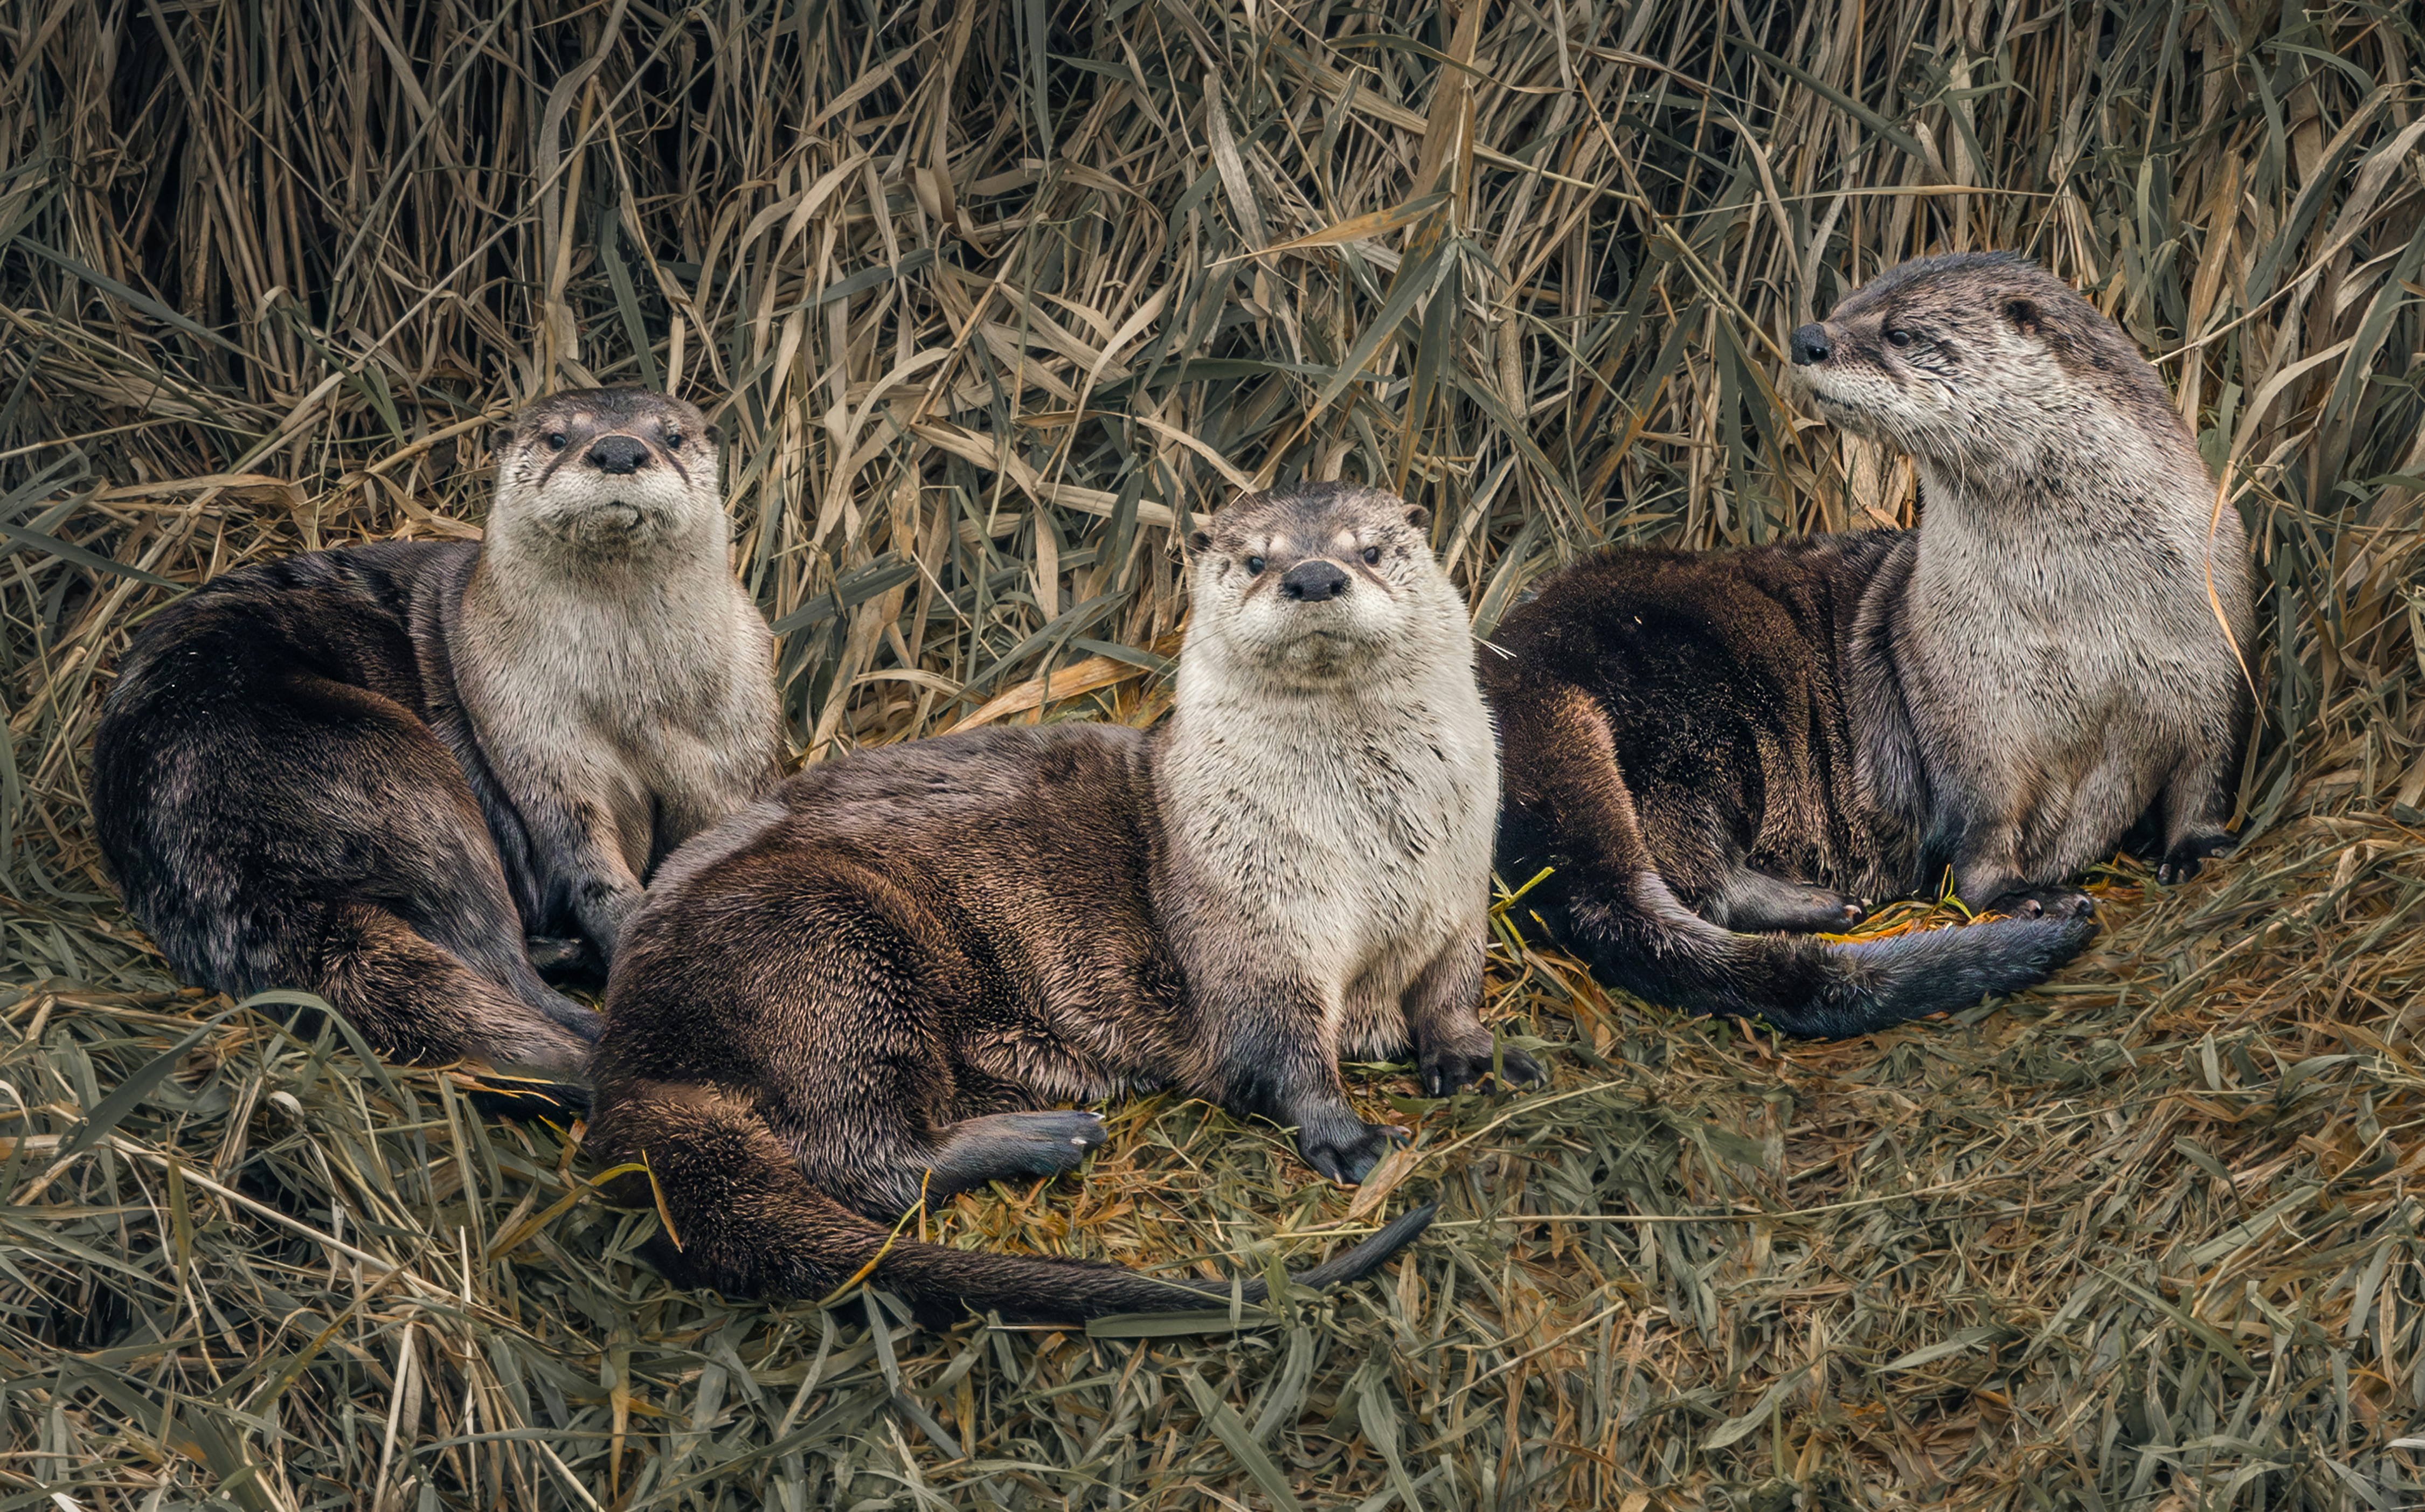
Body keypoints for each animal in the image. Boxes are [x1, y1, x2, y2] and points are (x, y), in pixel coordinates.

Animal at [90, 389, 781, 1079]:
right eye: (559, 438)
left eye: (672, 436)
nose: (617, 450)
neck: (637, 702)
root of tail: (228, 865)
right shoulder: (541, 753)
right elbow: (595, 878)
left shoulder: (737, 753)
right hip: (397, 771)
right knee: (498, 961)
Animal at [587, 480, 1536, 1322]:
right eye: (1256, 560)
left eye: (1370, 549)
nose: (1313, 577)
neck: (1368, 855)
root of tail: (630, 1047)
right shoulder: (1254, 919)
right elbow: (1276, 1040)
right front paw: (1345, 1132)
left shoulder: (1458, 892)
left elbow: (1452, 986)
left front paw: (1475, 1054)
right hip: (825, 946)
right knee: (863, 1155)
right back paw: (1053, 1135)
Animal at [1484, 252, 2250, 1038]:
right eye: (1844, 304)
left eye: (1900, 331)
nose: (1807, 336)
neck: (2082, 627)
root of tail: (1516, 671)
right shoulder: (1962, 701)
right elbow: (1981, 819)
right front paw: (2022, 897)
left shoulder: (2215, 656)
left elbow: (2205, 772)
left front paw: (2199, 848)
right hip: (1692, 706)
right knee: (1691, 865)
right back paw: (1820, 903)